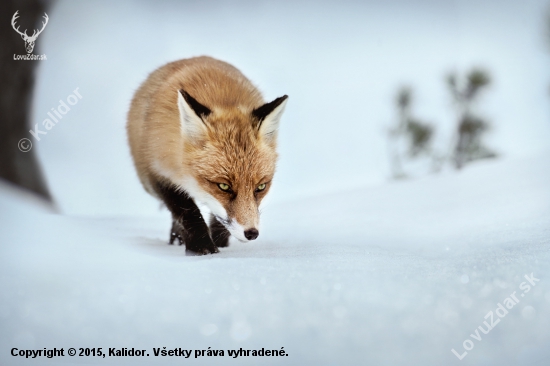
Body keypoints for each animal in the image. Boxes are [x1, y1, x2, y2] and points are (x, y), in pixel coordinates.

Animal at [125, 56, 288, 254]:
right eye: (224, 186)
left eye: (261, 187)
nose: (251, 233)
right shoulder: (157, 172)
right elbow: (186, 211)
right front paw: (202, 247)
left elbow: (216, 218)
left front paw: (219, 243)